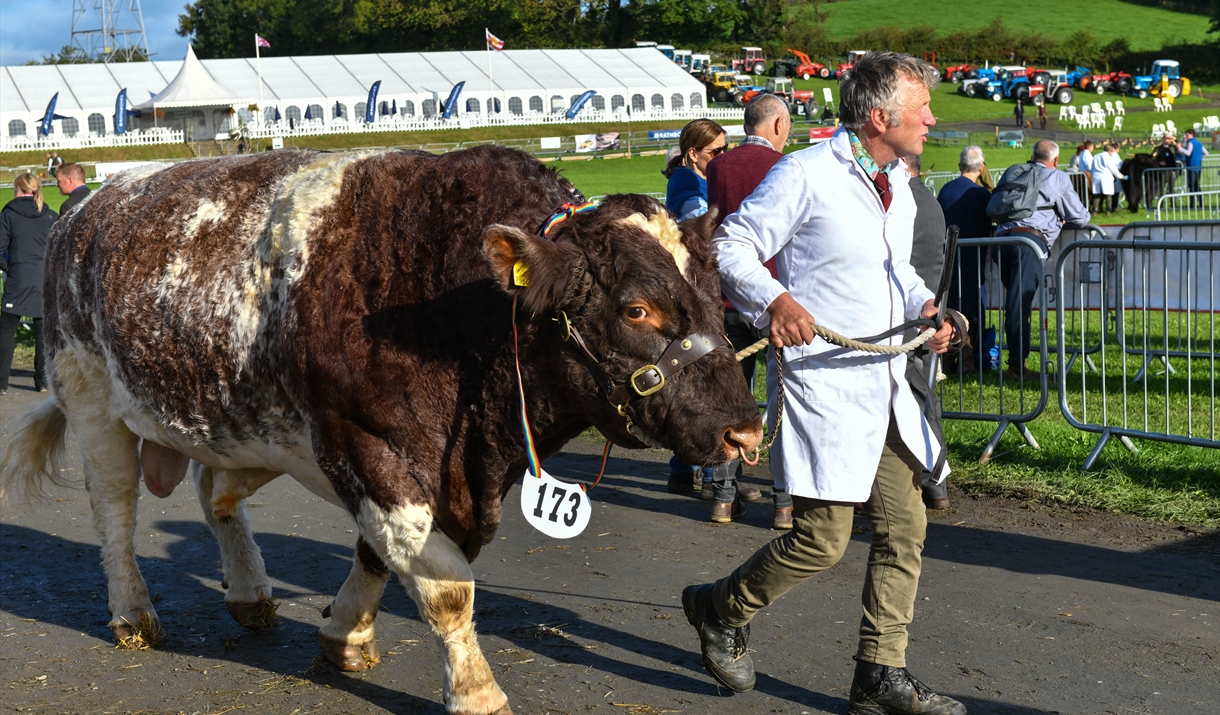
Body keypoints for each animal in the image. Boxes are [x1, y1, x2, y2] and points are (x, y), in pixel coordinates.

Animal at [0, 146, 761, 712]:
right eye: (636, 309)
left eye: (717, 292)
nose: (746, 432)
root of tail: (92, 200)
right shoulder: (370, 447)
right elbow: (446, 585)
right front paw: (477, 692)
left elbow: (379, 555)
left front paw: (345, 634)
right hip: (91, 399)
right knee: (115, 511)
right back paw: (132, 613)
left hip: (239, 420)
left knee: (215, 491)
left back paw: (248, 590)